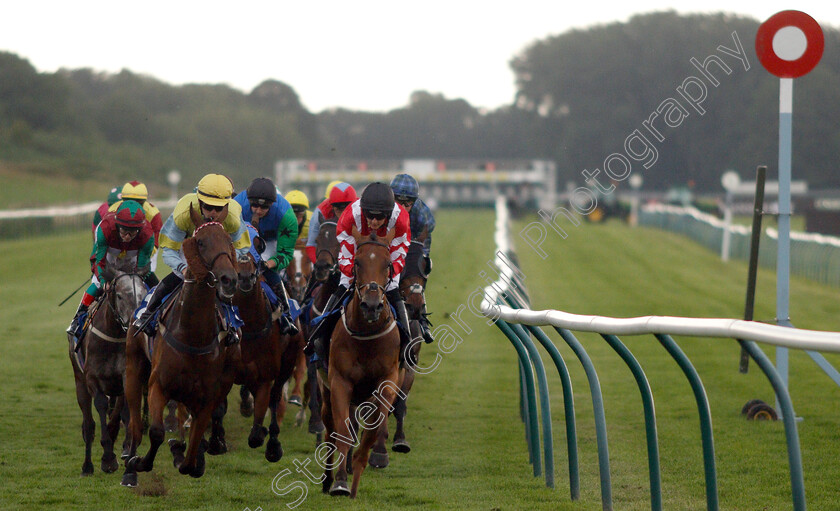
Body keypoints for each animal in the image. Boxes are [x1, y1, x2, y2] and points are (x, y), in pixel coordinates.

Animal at [70, 268, 148, 476]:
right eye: (120, 295)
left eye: (144, 294)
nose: (134, 324)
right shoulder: (92, 379)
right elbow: (101, 405)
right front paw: (107, 458)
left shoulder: (125, 378)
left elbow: (121, 414)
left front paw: (120, 451)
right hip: (79, 381)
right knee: (89, 424)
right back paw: (87, 466)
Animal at [117, 208, 240, 488]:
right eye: (201, 242)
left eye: (229, 240)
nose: (228, 278)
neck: (192, 335)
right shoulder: (158, 385)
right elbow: (156, 432)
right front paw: (139, 462)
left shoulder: (206, 397)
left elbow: (192, 455)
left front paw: (187, 453)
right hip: (133, 369)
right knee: (135, 426)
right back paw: (129, 464)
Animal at [233, 254, 302, 462]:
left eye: (255, 265)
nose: (244, 277)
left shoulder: (267, 371)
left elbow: (267, 399)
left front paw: (267, 438)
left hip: (288, 361)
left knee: (275, 395)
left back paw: (272, 442)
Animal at [318, 229, 404, 500]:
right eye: (357, 262)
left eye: (387, 264)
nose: (372, 305)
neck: (367, 336)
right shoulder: (339, 382)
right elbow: (343, 434)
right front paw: (340, 483)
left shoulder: (387, 383)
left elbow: (371, 433)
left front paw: (355, 482)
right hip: (325, 392)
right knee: (330, 431)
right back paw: (327, 479)